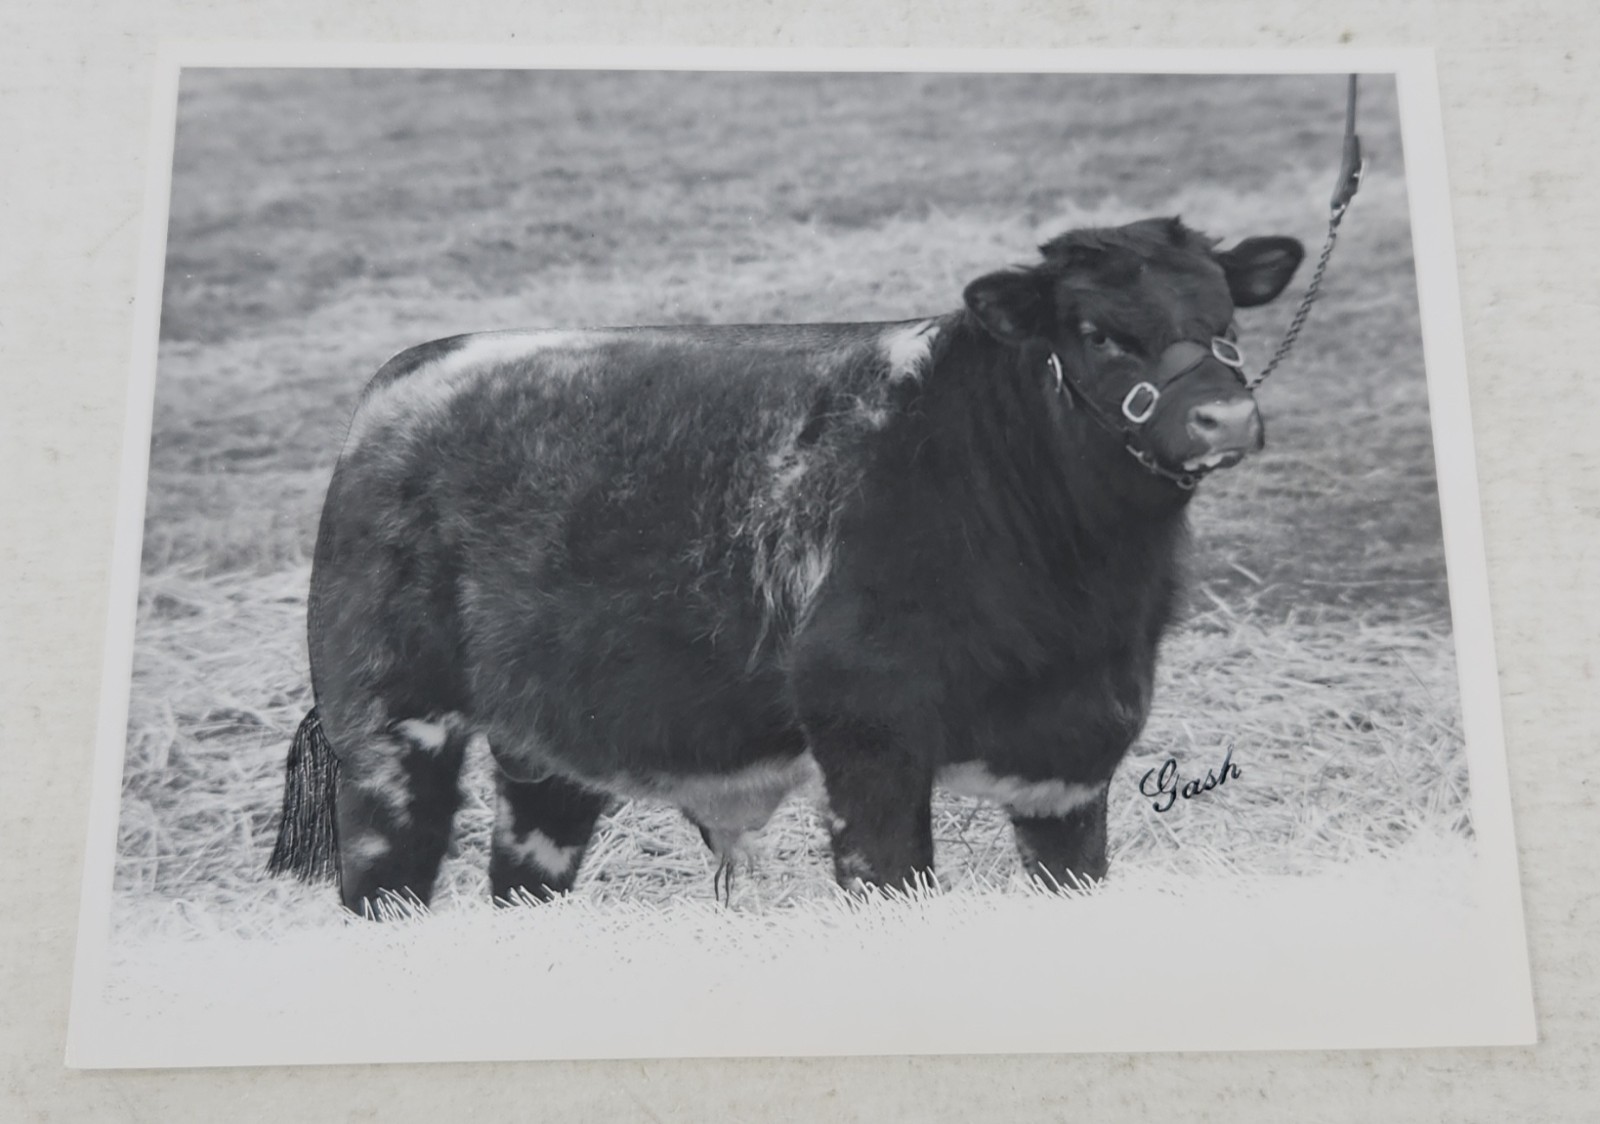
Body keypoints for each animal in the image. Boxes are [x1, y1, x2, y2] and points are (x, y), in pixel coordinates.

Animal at [268, 217, 1304, 914]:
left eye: (1226, 316)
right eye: (1096, 332)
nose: (1225, 415)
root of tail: (403, 381)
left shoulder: (1073, 764)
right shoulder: (869, 740)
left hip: (545, 761)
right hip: (389, 735)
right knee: (385, 886)